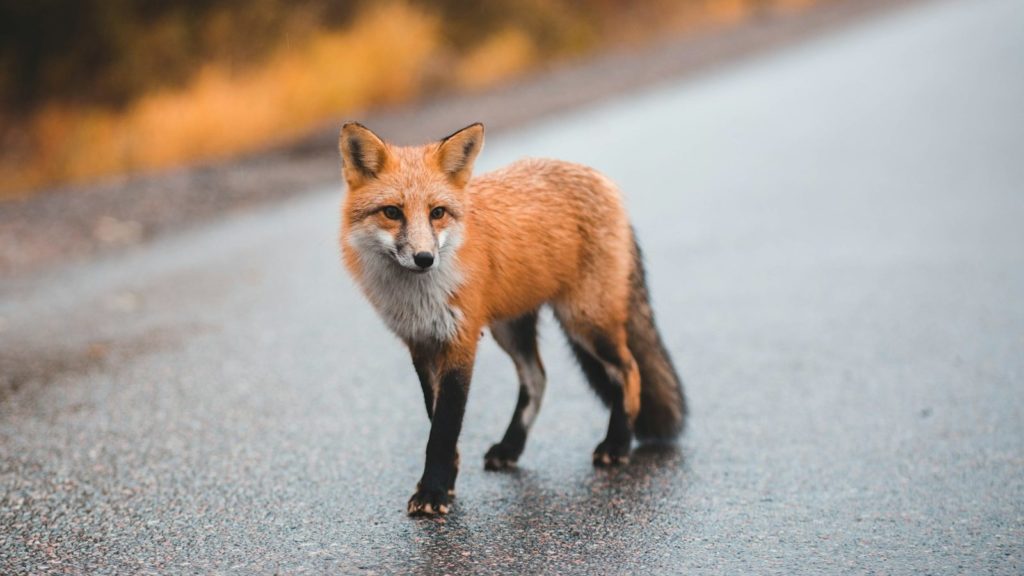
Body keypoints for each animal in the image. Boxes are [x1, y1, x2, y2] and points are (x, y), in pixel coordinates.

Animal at [339, 121, 684, 516]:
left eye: (437, 213)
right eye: (392, 212)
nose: (425, 258)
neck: (419, 297)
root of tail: (601, 179)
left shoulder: (461, 340)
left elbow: (443, 428)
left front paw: (433, 491)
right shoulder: (421, 343)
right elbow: (435, 418)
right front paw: (446, 481)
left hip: (585, 321)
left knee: (629, 370)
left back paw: (617, 444)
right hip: (511, 328)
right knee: (538, 378)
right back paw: (511, 447)